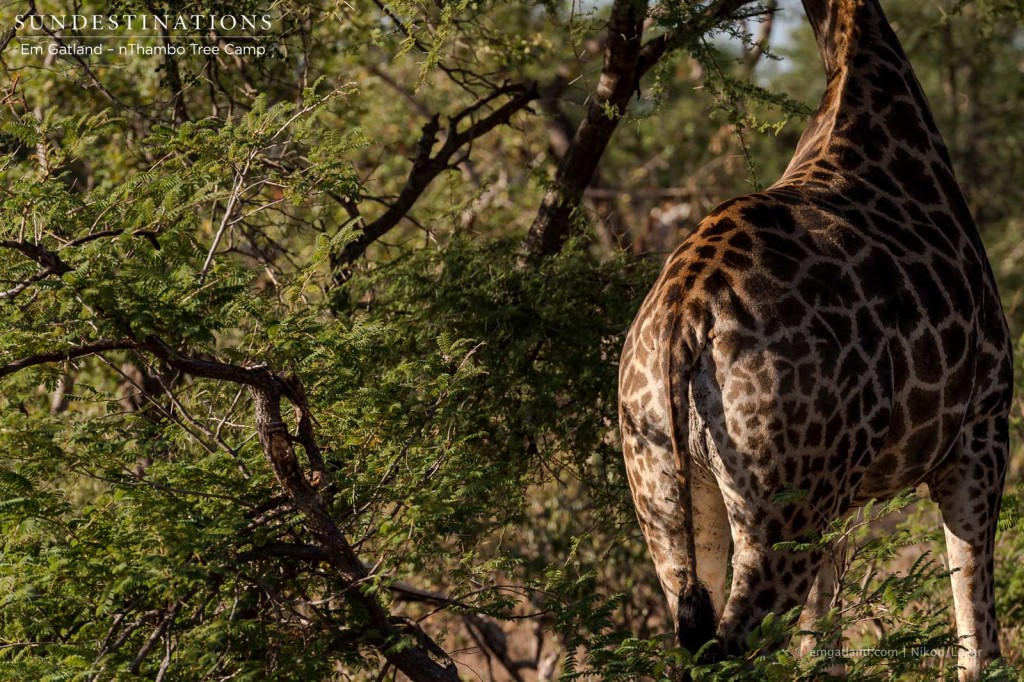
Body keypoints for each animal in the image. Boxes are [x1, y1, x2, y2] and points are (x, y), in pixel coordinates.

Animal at [614, 0, 1015, 675]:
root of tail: (684, 315)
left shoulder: (844, 497)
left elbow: (821, 642)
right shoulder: (980, 433)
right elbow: (978, 634)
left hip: (669, 496)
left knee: (696, 634)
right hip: (782, 510)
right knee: (734, 647)